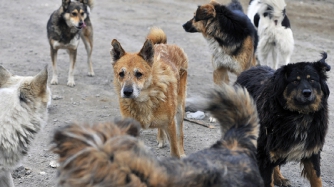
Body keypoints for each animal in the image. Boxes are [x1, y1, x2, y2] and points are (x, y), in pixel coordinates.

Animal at [109, 27, 188, 157]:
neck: (146, 99)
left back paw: (182, 152)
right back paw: (161, 138)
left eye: (139, 74)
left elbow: (174, 150)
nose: (127, 92)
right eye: (121, 74)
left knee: (180, 134)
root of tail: (164, 44)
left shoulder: (170, 125)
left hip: (180, 109)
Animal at [236, 53, 330, 187]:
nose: (307, 93)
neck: (299, 115)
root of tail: (250, 69)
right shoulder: (264, 153)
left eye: (312, 79)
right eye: (295, 81)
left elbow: (316, 178)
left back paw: (279, 178)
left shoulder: (311, 150)